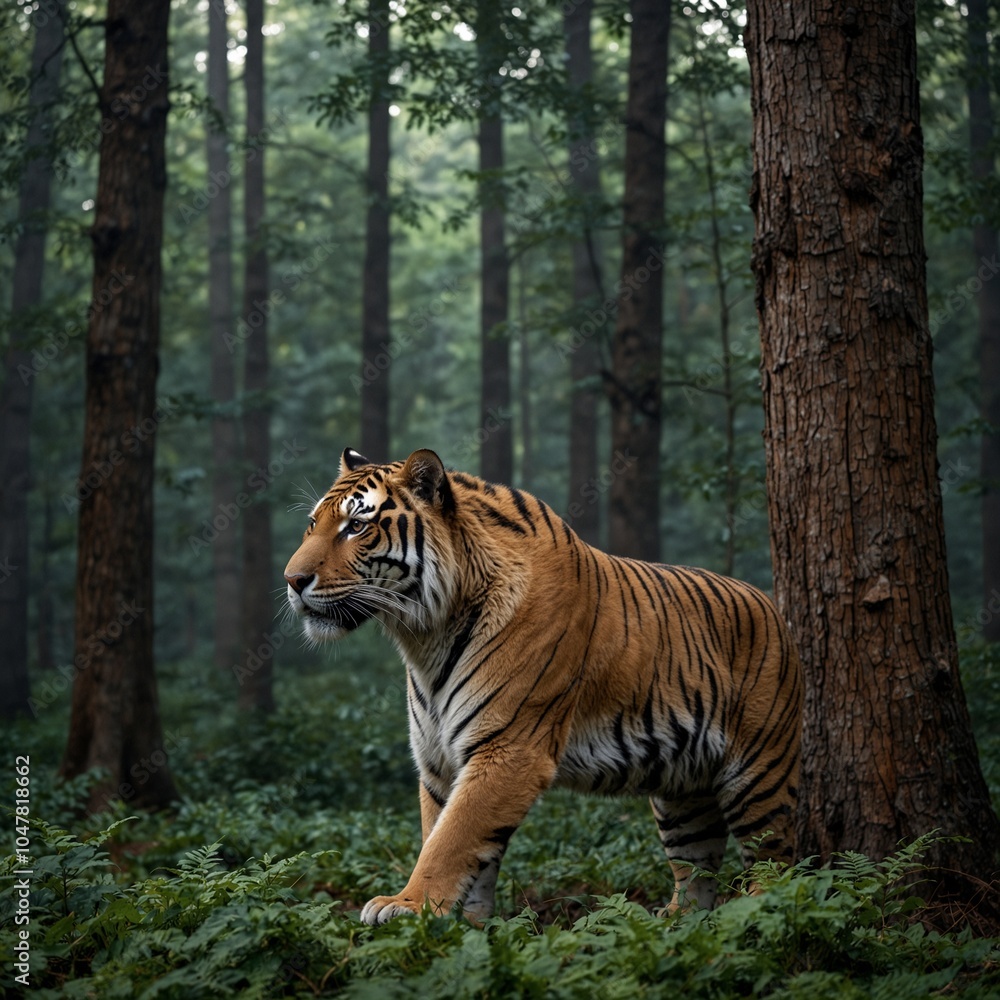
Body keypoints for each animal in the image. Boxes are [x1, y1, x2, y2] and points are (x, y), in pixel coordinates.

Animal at [284, 447, 803, 925]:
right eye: (312, 524)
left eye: (356, 526)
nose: (292, 580)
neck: (424, 635)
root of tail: (772, 606)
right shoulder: (438, 759)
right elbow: (458, 842)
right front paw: (468, 927)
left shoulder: (509, 747)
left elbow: (451, 839)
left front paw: (407, 906)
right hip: (683, 796)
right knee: (696, 876)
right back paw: (673, 925)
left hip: (758, 775)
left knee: (777, 867)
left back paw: (759, 918)